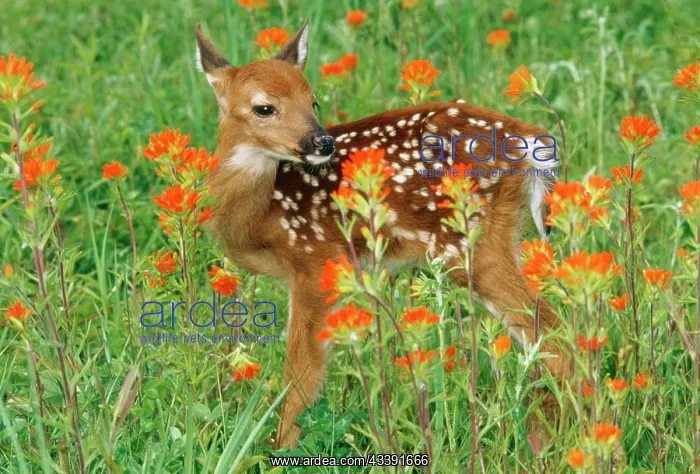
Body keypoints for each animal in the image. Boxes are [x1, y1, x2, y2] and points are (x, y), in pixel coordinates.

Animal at [195, 20, 571, 449]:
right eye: (264, 107)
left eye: (313, 101)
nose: (322, 141)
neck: (259, 213)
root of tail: (531, 139)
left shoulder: (314, 261)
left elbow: (301, 376)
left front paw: (278, 448)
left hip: (470, 240)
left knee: (557, 340)